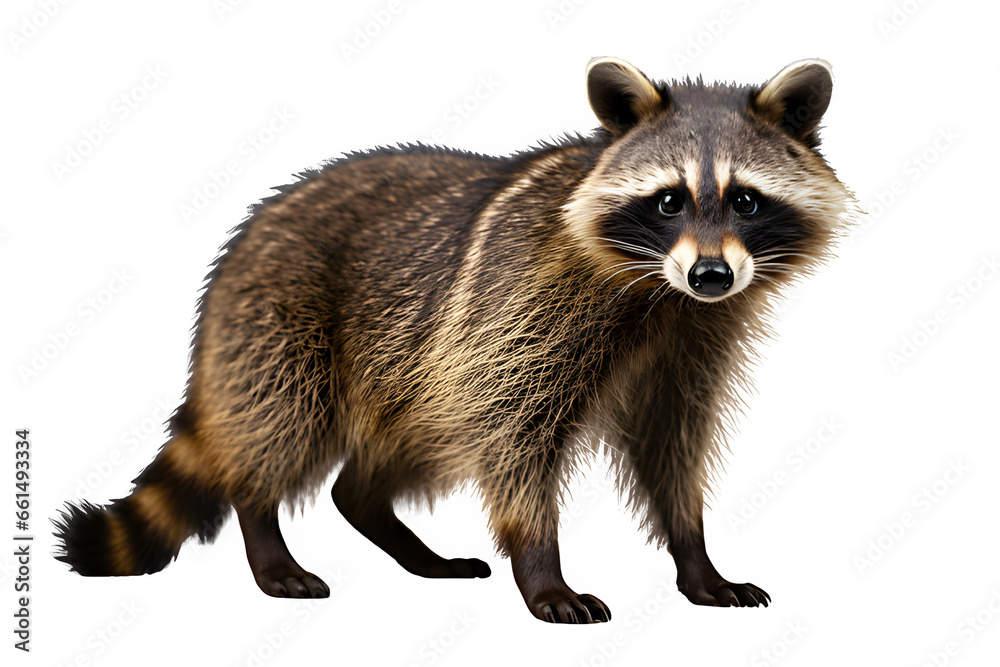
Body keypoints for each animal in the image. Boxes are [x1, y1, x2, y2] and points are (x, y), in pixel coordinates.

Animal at [54, 57, 854, 623]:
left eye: (746, 200)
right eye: (668, 201)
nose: (712, 273)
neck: (661, 292)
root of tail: (241, 247)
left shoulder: (693, 340)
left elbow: (672, 444)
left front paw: (696, 552)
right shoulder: (521, 311)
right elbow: (513, 436)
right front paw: (541, 564)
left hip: (409, 368)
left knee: (378, 465)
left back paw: (398, 533)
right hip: (282, 327)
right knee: (283, 422)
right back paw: (264, 527)